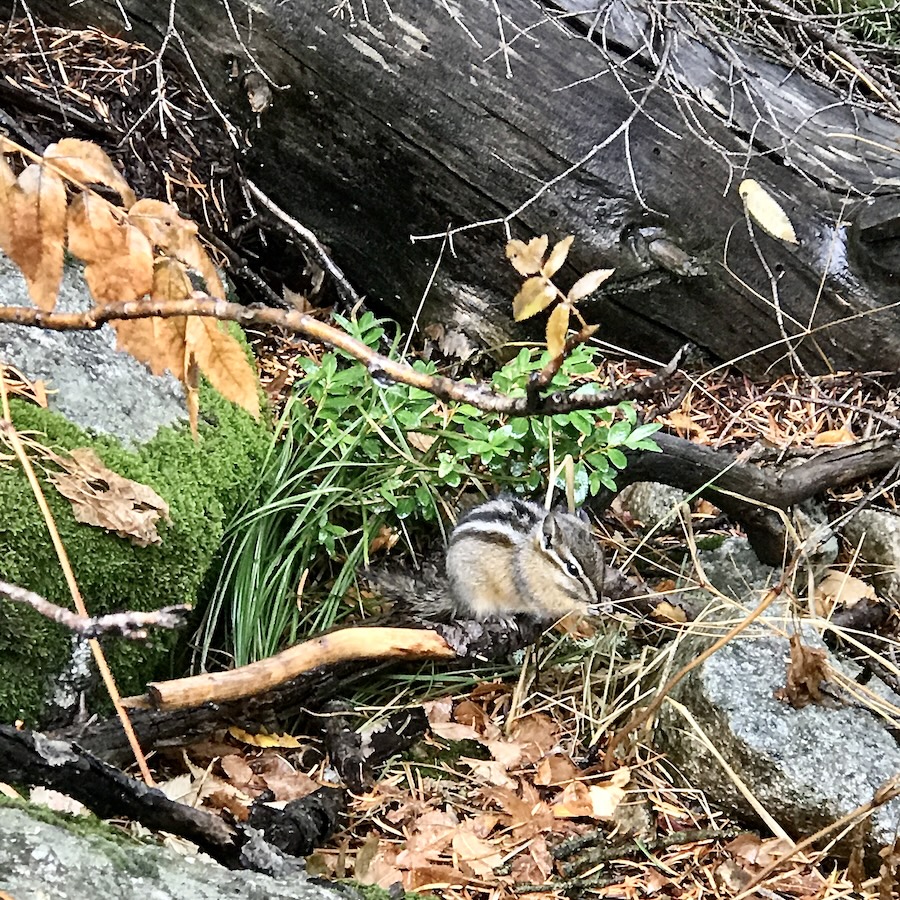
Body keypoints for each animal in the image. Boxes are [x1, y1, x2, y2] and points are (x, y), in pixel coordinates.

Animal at [369, 497, 607, 623]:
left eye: (601, 558)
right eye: (572, 568)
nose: (596, 597)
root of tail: (456, 594)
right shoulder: (533, 588)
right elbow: (557, 606)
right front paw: (585, 608)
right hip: (478, 594)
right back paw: (502, 617)